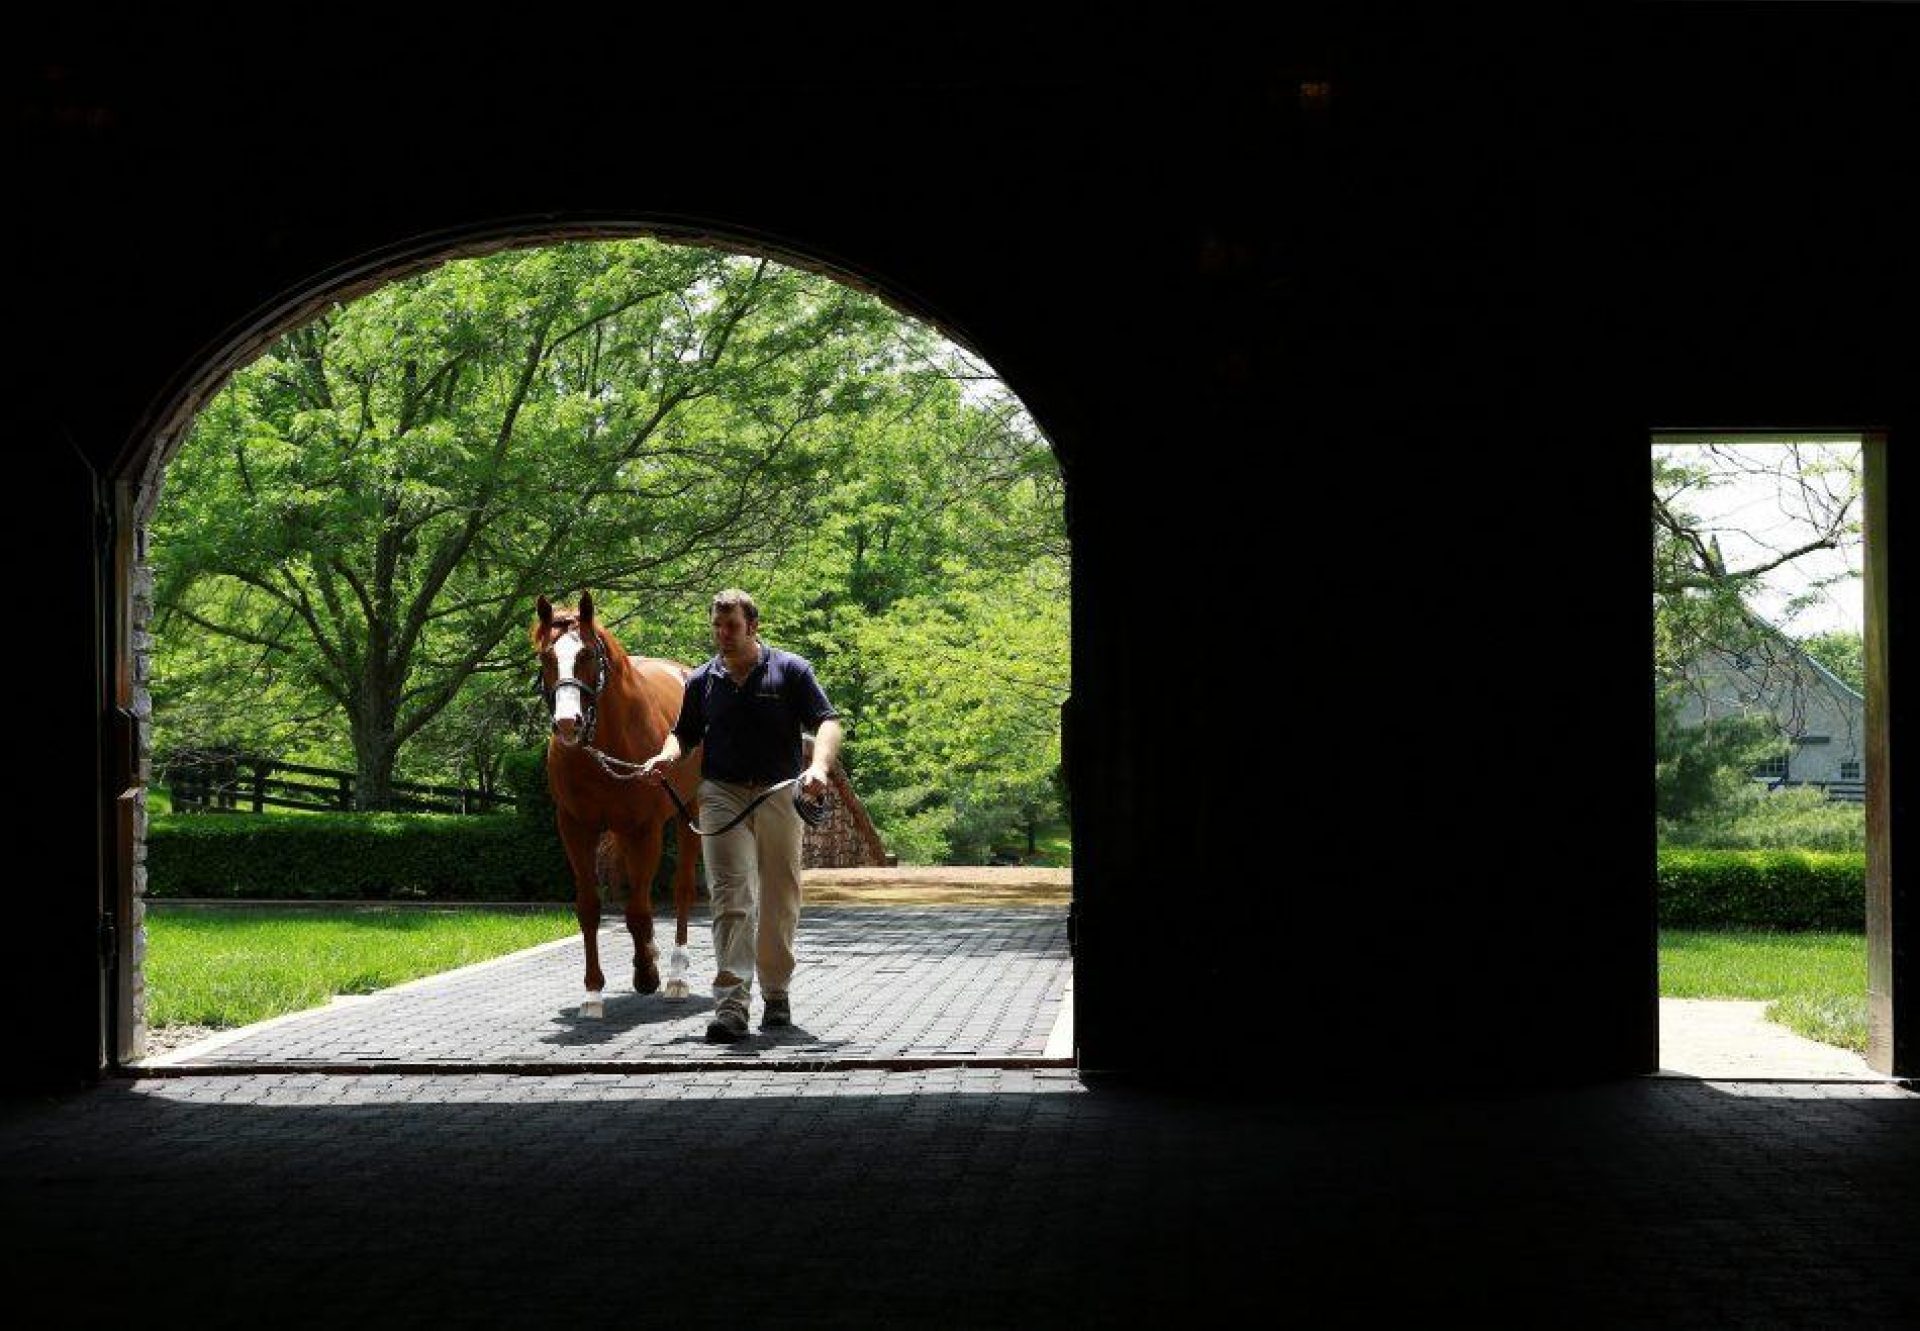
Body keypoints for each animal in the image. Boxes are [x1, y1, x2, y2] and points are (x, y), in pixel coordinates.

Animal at [529, 587, 702, 1014]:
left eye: (588, 654)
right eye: (546, 657)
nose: (567, 724)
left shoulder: (644, 830)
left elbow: (638, 910)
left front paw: (648, 975)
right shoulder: (576, 828)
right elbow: (590, 907)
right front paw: (593, 992)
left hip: (689, 813)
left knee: (682, 889)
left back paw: (675, 975)